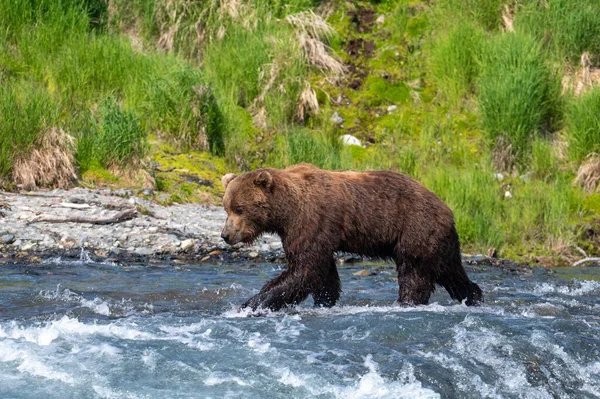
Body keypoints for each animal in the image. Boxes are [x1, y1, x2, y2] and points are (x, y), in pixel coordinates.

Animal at [220, 163, 482, 312]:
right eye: (226, 208)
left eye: (239, 208)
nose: (226, 235)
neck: (285, 212)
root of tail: (447, 208)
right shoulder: (314, 234)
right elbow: (323, 273)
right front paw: (325, 300)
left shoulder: (310, 221)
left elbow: (303, 269)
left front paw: (253, 303)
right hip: (438, 239)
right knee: (450, 270)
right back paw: (473, 296)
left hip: (416, 228)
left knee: (415, 273)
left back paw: (407, 302)